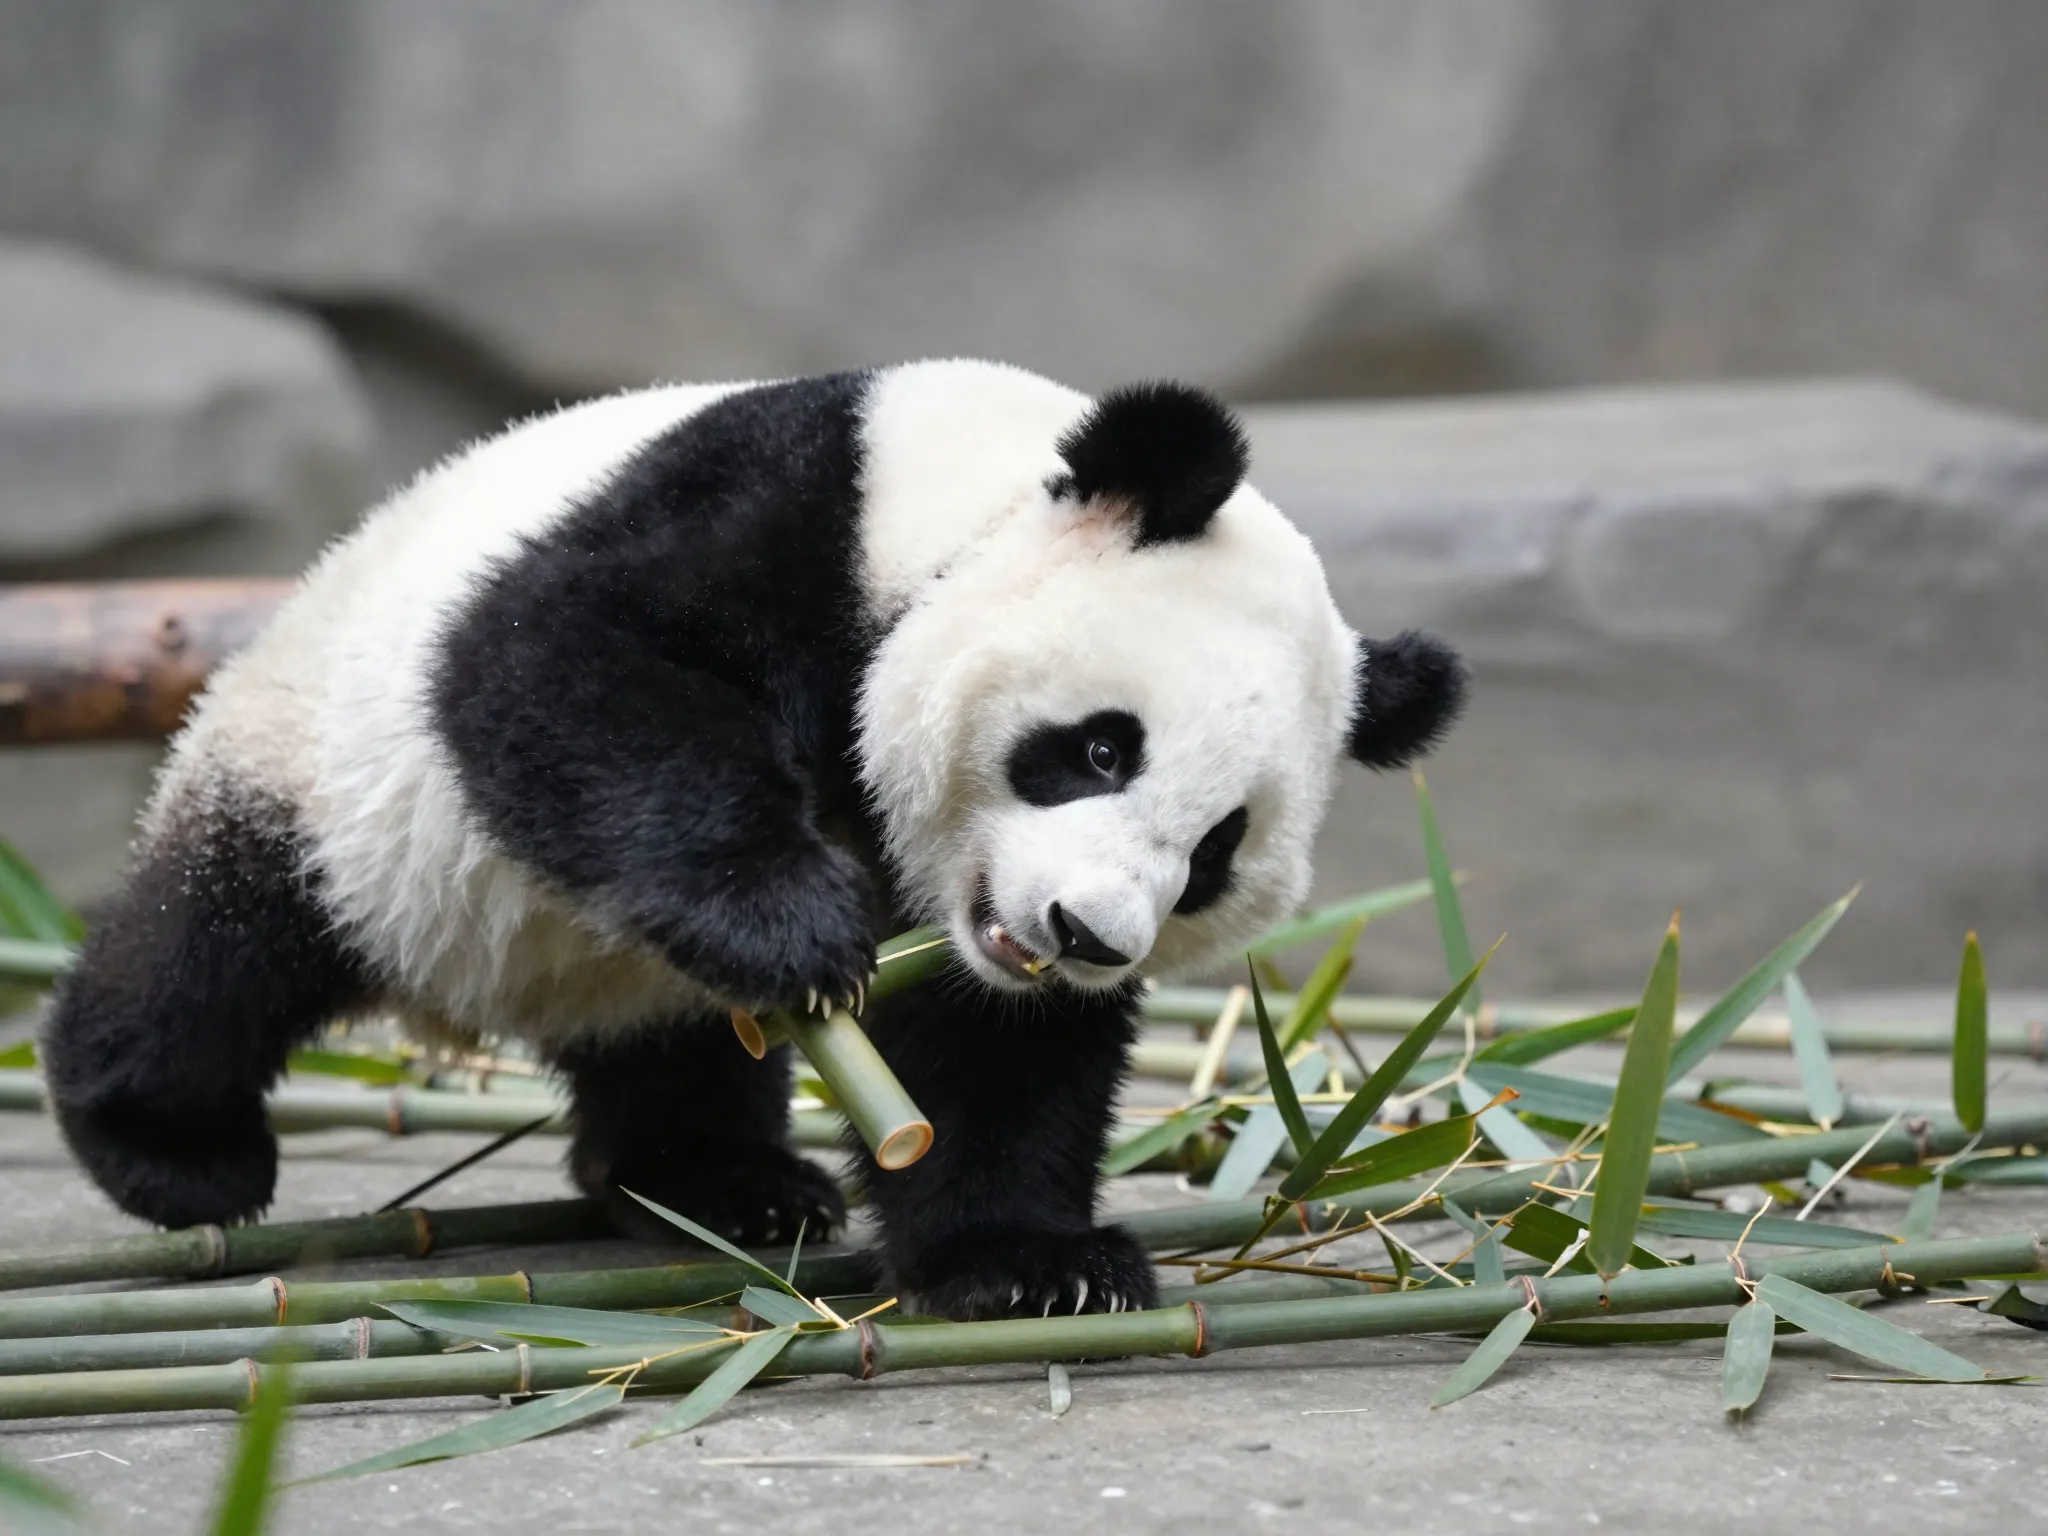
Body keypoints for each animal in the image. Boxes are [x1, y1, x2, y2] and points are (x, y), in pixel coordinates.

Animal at [41, 359, 1465, 1321]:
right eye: (1103, 748)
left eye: (1214, 852)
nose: (1085, 936)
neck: (967, 501)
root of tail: (483, 1000)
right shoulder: (786, 513)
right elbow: (568, 661)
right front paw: (793, 924)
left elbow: (996, 1056)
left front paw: (1028, 1264)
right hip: (328, 781)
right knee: (213, 954)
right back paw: (169, 1148)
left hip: (620, 971)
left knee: (672, 1056)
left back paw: (714, 1180)